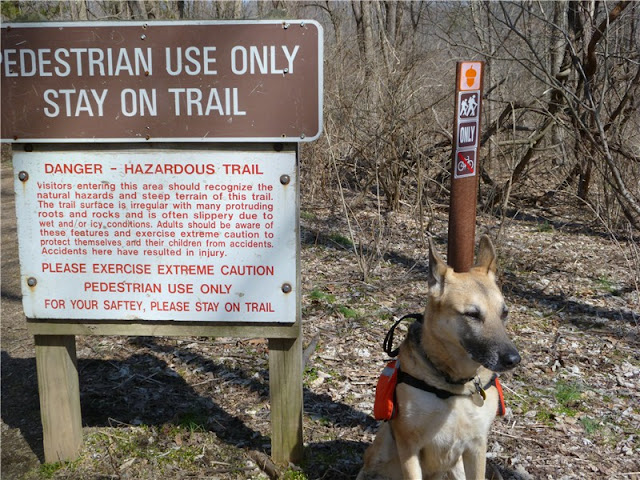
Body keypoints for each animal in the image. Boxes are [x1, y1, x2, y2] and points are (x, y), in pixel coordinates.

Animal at [357, 235, 521, 480]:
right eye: (472, 314)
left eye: (504, 313)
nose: (513, 360)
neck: (453, 383)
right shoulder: (409, 447)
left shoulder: (476, 447)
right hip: (382, 448)